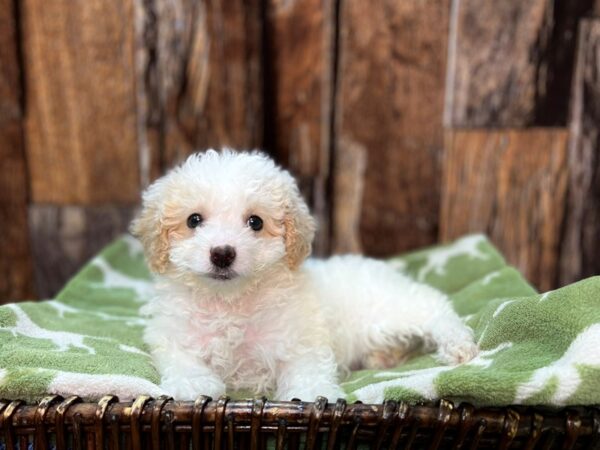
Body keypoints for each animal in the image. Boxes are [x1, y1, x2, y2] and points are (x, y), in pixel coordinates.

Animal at [131, 150, 478, 400]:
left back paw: (459, 345)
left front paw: (312, 394)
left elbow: (307, 367)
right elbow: (181, 357)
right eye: (194, 220)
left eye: (255, 222)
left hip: (388, 309)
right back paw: (384, 357)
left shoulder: (300, 338)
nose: (222, 253)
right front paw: (193, 384)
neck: (230, 303)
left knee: (432, 305)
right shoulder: (172, 334)